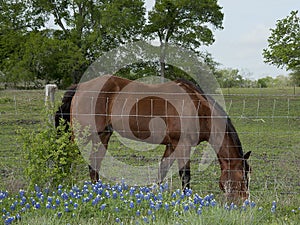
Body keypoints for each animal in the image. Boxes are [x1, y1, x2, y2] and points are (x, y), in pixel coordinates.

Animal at [55, 74, 251, 201]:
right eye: (243, 178)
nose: (244, 203)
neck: (199, 109)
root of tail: (80, 87)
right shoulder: (183, 145)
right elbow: (185, 176)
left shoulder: (171, 146)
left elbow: (162, 171)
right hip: (82, 134)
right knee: (65, 155)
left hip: (102, 136)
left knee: (94, 164)